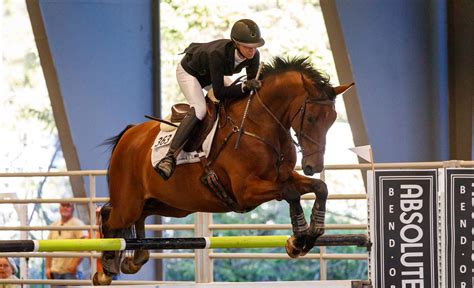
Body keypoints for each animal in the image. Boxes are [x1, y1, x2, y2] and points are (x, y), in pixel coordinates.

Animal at [92, 55, 354, 284]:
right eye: (310, 118)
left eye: (332, 119)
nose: (313, 166)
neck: (260, 125)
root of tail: (130, 134)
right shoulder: (246, 191)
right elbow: (290, 193)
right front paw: (298, 239)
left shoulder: (283, 176)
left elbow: (320, 187)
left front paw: (313, 231)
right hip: (130, 202)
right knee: (109, 216)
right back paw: (106, 270)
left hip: (170, 205)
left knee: (137, 216)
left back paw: (135, 259)